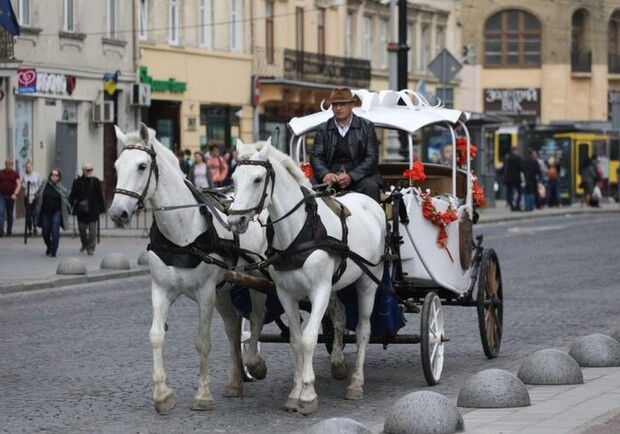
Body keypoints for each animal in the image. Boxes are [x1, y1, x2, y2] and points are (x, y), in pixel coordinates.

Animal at [108, 124, 266, 414]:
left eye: (142, 166)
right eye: (116, 166)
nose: (117, 213)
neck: (182, 231)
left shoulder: (205, 293)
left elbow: (202, 342)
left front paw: (202, 395)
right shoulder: (161, 289)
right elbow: (156, 336)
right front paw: (162, 394)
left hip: (257, 277)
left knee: (257, 318)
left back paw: (255, 365)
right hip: (224, 290)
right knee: (233, 327)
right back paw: (235, 381)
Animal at [225, 138, 386, 414]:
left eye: (258, 179)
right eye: (234, 178)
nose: (236, 221)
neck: (300, 232)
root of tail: (371, 202)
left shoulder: (319, 290)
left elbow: (309, 338)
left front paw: (308, 394)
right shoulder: (286, 293)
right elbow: (296, 340)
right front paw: (295, 391)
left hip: (369, 280)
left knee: (364, 329)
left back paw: (356, 383)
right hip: (337, 284)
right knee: (340, 318)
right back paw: (339, 365)